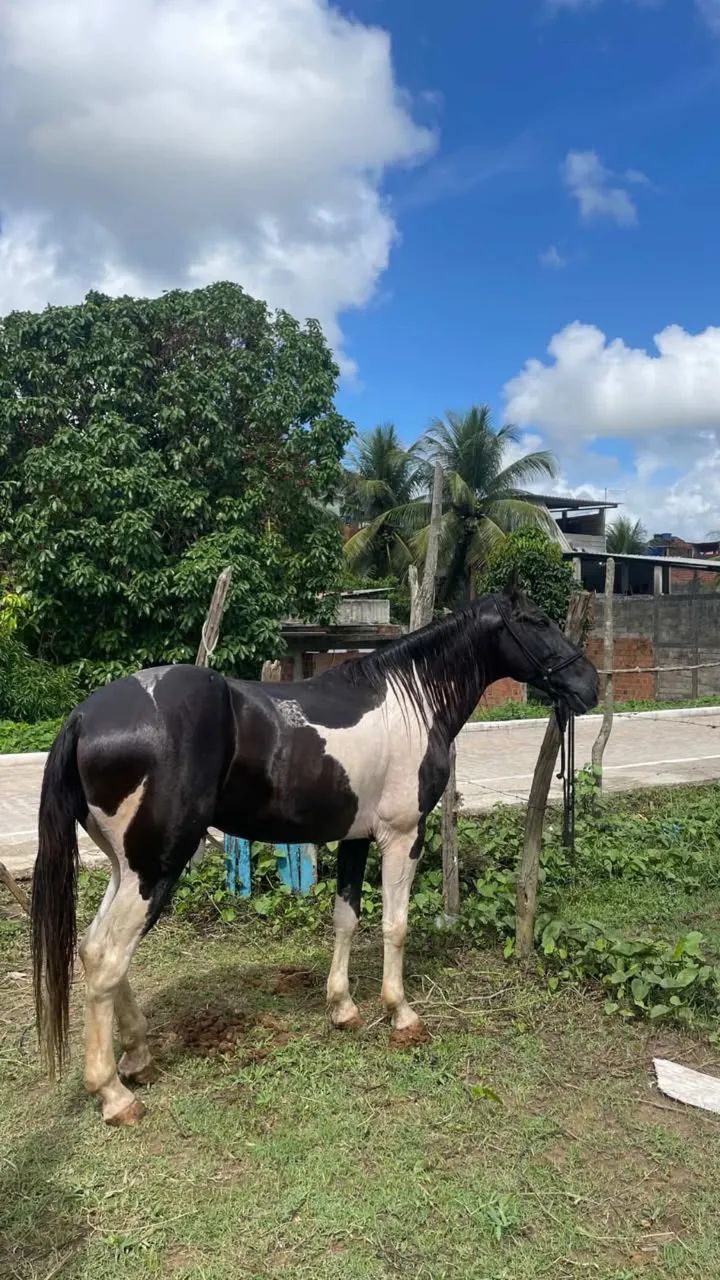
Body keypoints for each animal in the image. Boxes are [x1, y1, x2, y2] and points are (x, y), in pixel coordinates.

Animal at [31, 583, 598, 1125]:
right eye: (537, 621)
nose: (589, 684)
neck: (412, 702)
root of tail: (83, 718)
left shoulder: (355, 838)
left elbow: (346, 918)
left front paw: (343, 1008)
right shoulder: (402, 836)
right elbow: (395, 925)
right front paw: (401, 1013)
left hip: (125, 868)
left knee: (94, 950)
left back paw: (138, 1057)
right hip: (154, 869)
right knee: (108, 958)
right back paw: (113, 1094)